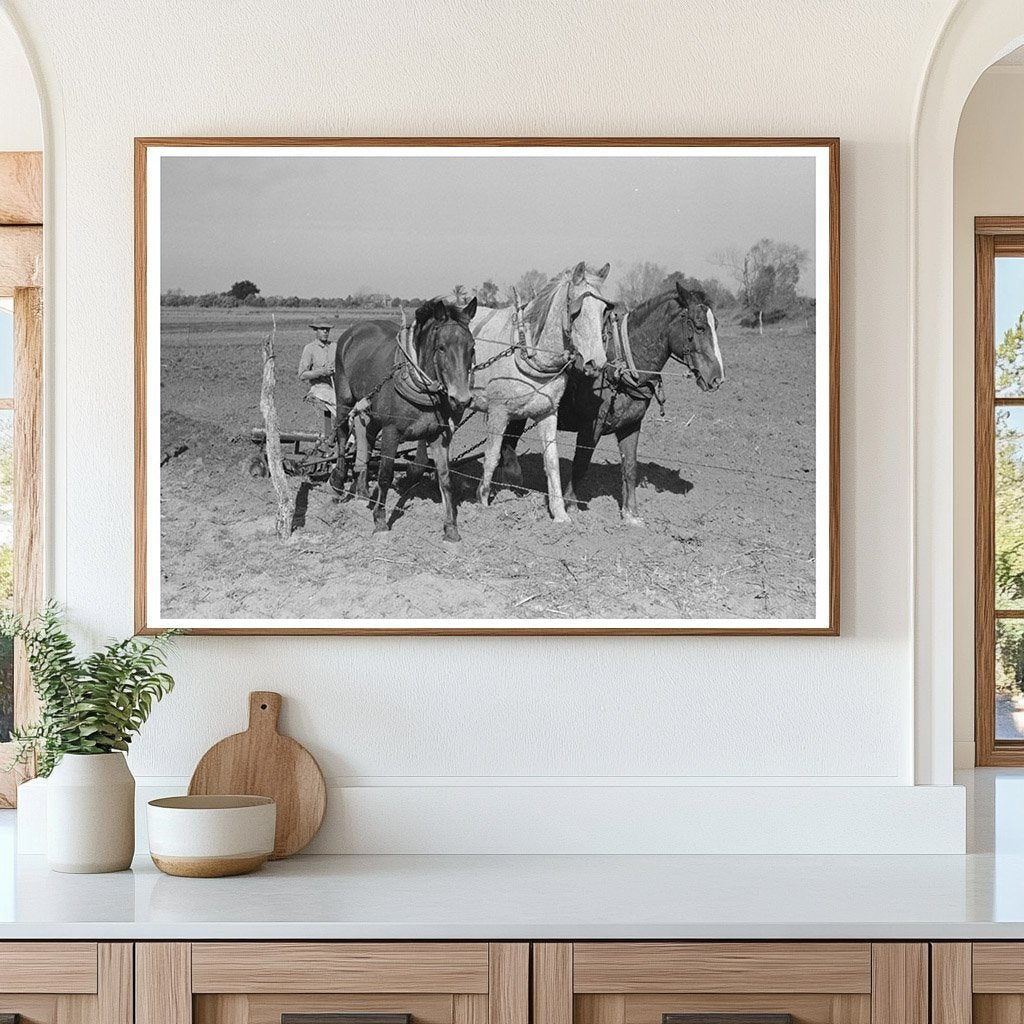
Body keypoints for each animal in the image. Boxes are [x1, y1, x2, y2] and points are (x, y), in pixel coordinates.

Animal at [329, 294, 477, 540]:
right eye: (441, 347)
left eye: (472, 347)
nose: (461, 399)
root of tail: (353, 331)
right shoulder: (391, 432)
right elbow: (385, 474)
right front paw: (380, 521)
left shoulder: (439, 435)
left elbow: (445, 478)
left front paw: (451, 528)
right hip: (344, 397)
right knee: (341, 433)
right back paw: (338, 483)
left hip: (371, 410)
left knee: (368, 437)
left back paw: (363, 490)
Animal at [468, 260, 610, 524]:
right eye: (576, 311)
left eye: (605, 310)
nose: (597, 363)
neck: (527, 350)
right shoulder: (498, 412)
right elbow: (491, 456)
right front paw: (482, 503)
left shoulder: (548, 412)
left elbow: (552, 461)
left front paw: (560, 514)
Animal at [493, 282, 720, 528]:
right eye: (699, 327)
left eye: (716, 325)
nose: (717, 378)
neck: (620, 365)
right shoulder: (591, 427)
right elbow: (580, 465)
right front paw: (571, 505)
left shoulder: (631, 426)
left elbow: (630, 468)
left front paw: (631, 514)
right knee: (507, 443)